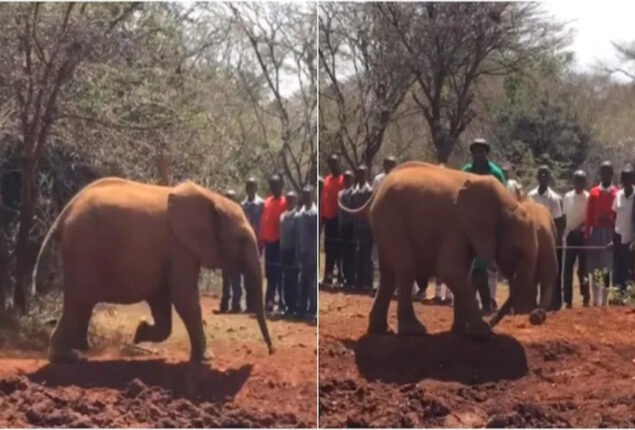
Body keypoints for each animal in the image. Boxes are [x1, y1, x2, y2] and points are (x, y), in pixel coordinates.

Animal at [33, 177, 274, 362]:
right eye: (241, 239)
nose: (271, 351)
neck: (211, 198)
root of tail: (66, 211)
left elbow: (163, 302)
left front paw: (139, 333)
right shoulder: (179, 247)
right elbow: (185, 299)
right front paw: (206, 359)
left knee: (80, 305)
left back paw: (76, 351)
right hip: (82, 251)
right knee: (79, 302)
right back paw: (69, 357)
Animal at [340, 162, 548, 340]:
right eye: (517, 251)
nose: (492, 324)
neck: (504, 202)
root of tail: (376, 193)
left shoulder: (465, 232)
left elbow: (460, 272)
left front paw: (460, 332)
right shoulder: (457, 227)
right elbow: (449, 270)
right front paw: (481, 333)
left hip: (384, 226)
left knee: (389, 275)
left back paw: (382, 330)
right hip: (391, 222)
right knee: (405, 270)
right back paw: (414, 331)